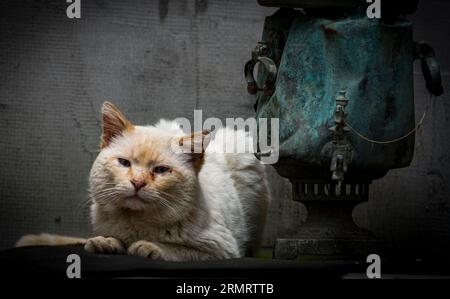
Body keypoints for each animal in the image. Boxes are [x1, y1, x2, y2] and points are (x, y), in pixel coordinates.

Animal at [17, 102, 268, 262]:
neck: (136, 222)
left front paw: (148, 246)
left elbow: (178, 250)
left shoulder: (222, 250)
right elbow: (105, 239)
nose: (137, 182)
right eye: (124, 163)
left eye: (161, 170)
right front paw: (106, 242)